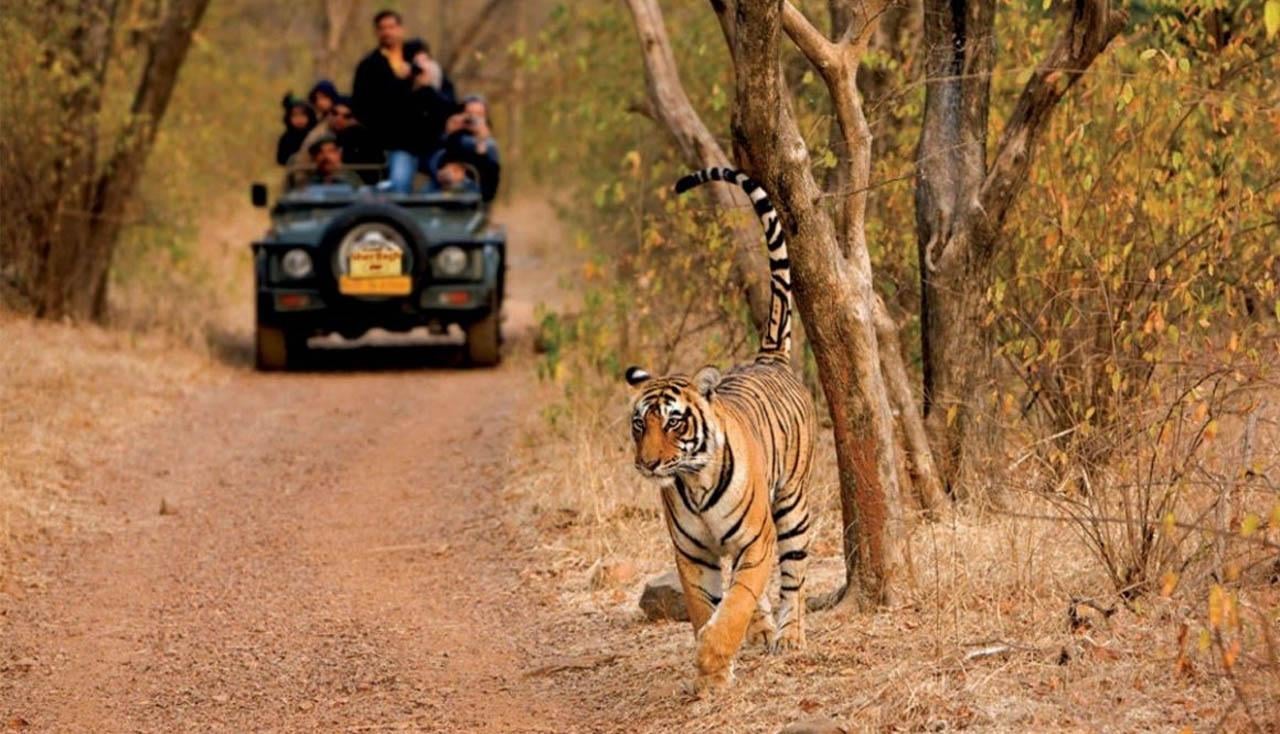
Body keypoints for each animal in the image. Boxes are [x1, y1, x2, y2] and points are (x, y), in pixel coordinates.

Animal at [624, 167, 817, 692]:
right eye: (639, 424)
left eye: (674, 421)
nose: (648, 463)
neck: (694, 483)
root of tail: (768, 358)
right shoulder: (693, 555)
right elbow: (704, 607)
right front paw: (712, 670)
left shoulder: (756, 541)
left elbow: (735, 603)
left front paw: (714, 659)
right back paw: (765, 630)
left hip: (791, 505)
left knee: (794, 576)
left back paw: (790, 636)